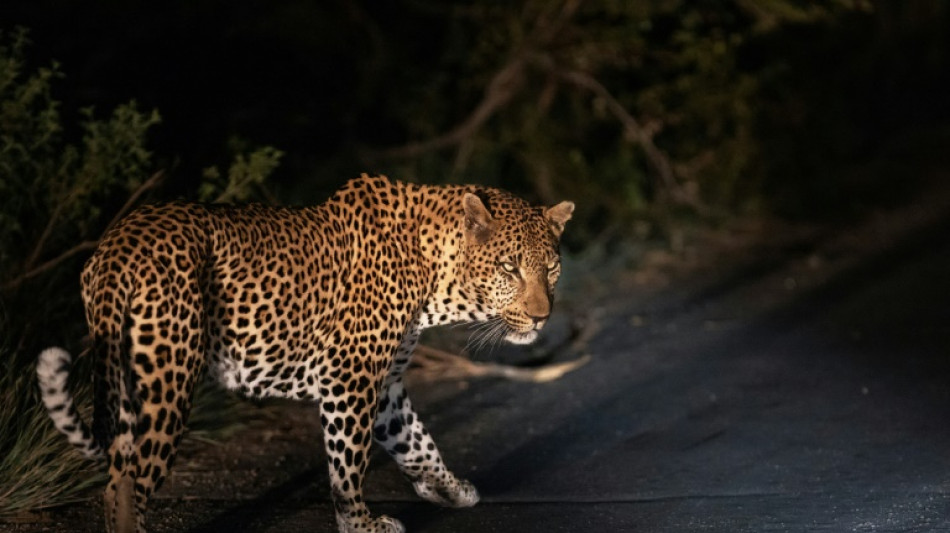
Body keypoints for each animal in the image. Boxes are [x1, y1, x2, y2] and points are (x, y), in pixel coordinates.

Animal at [35, 174, 572, 532]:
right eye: (509, 268)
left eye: (551, 268)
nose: (542, 317)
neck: (433, 275)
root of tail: (118, 245)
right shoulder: (350, 377)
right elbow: (348, 463)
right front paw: (360, 522)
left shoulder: (386, 384)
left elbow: (417, 441)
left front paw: (449, 488)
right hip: (168, 380)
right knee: (128, 482)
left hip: (128, 374)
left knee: (115, 477)